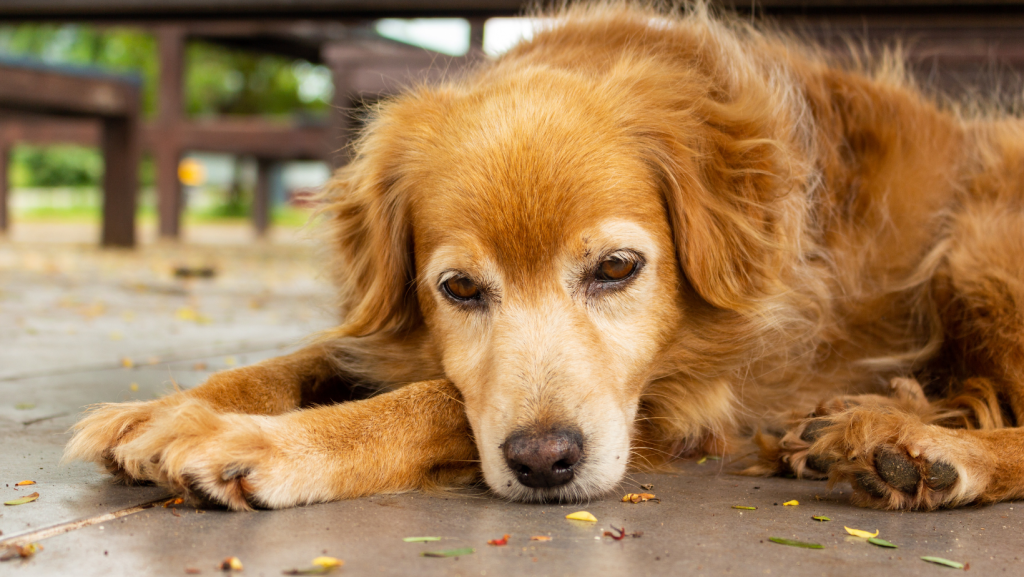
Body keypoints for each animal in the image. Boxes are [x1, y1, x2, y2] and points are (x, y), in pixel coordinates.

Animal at [61, 2, 1024, 512]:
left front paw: (259, 442)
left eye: (617, 269)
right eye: (458, 288)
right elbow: (309, 357)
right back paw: (854, 424)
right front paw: (166, 409)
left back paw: (926, 451)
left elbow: (435, 401)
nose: (542, 462)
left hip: (976, 249)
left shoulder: (690, 396)